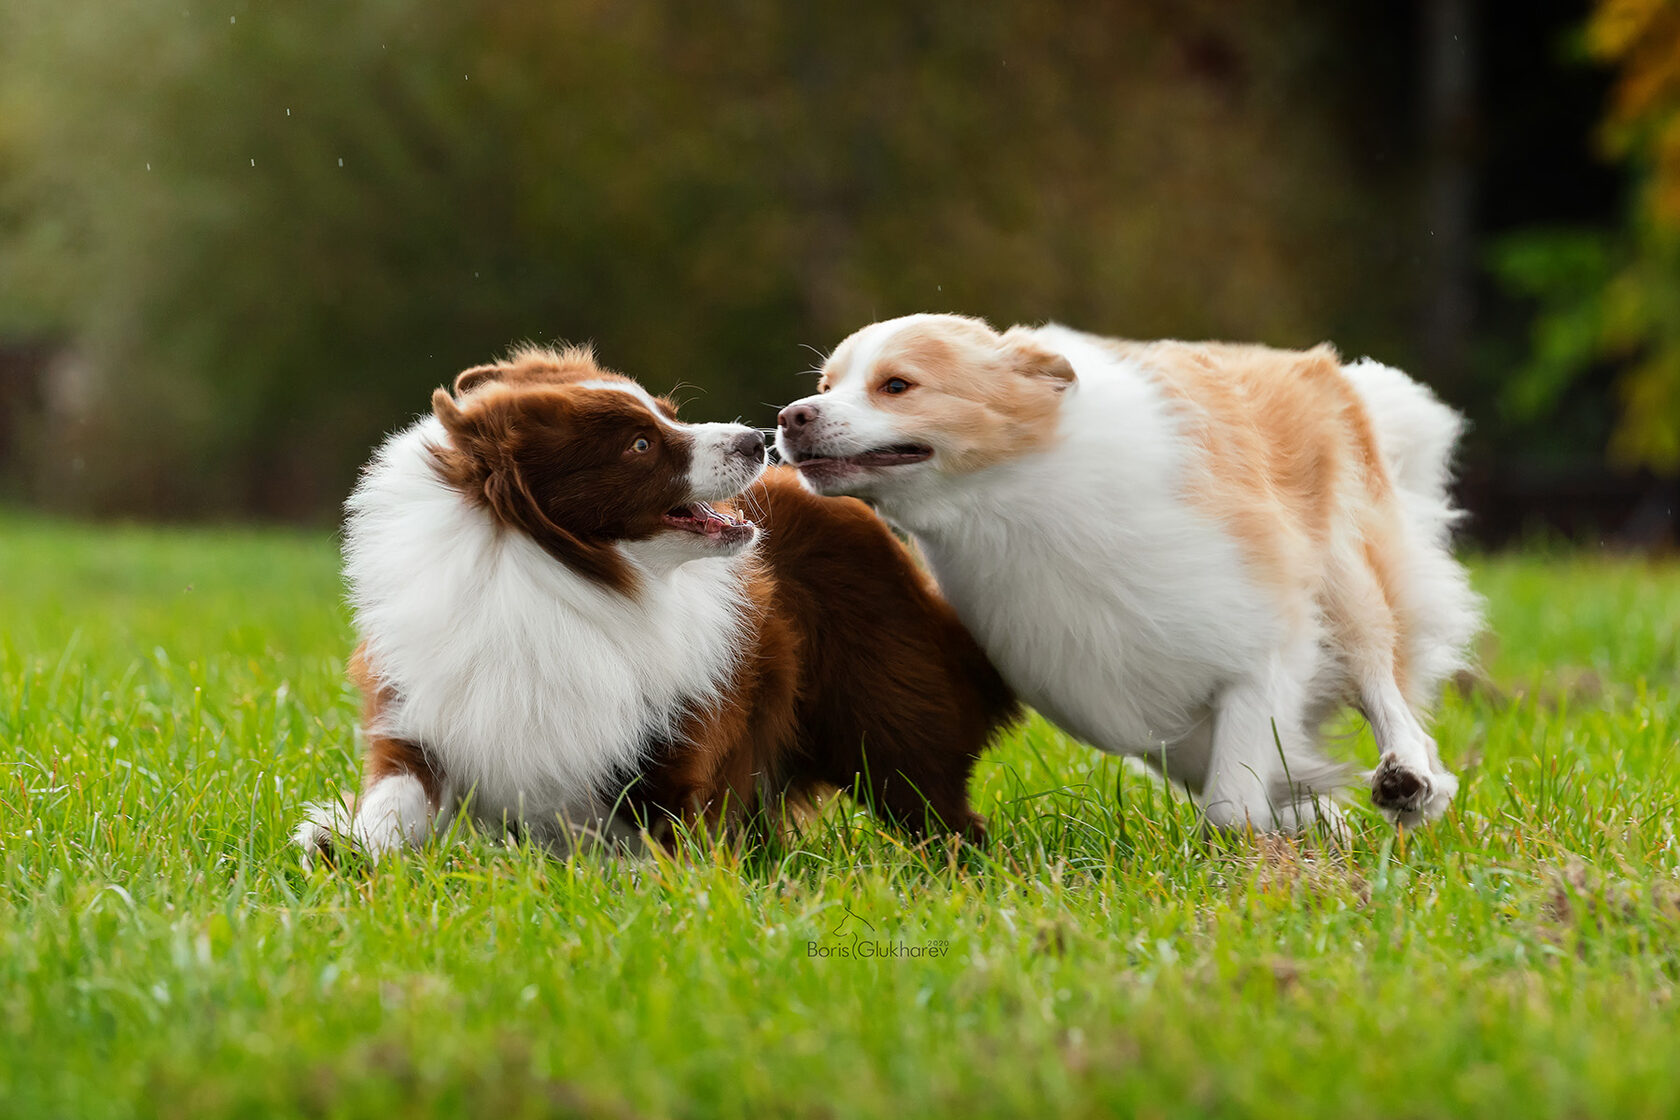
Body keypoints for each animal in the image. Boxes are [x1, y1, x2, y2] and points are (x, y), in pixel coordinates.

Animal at [295, 344, 1014, 859]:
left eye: (669, 412)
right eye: (639, 444)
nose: (760, 437)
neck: (557, 579)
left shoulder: (669, 749)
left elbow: (658, 846)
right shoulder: (423, 712)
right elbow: (399, 793)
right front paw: (347, 843)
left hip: (883, 718)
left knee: (934, 802)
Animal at [772, 315, 1485, 832]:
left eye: (896, 385)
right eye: (827, 385)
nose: (790, 416)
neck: (1017, 493)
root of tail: (1311, 364)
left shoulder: (1265, 636)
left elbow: (1231, 801)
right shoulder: (1117, 697)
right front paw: (1308, 815)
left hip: (1345, 578)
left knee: (1387, 689)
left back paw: (1410, 782)